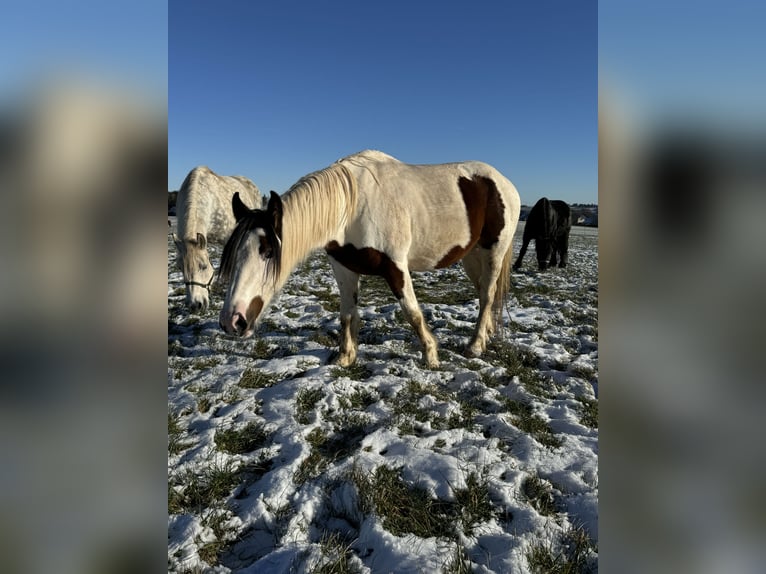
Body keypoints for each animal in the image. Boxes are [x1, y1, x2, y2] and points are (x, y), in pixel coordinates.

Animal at [219, 151, 524, 368]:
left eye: (267, 251)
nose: (232, 322)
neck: (351, 207)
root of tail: (504, 183)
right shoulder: (343, 267)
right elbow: (346, 314)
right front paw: (345, 357)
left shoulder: (395, 266)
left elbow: (412, 312)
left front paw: (431, 355)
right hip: (471, 256)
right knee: (485, 292)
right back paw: (486, 335)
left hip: (493, 252)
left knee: (486, 295)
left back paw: (475, 345)